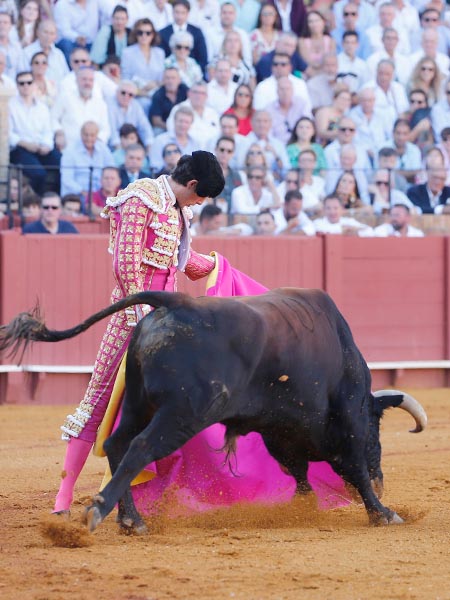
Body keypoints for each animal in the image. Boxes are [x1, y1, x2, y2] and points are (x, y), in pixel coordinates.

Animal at [0, 288, 428, 528]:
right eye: (377, 428)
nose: (382, 480)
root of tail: (174, 303)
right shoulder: (348, 417)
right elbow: (351, 463)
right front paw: (383, 512)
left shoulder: (280, 430)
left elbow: (300, 472)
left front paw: (305, 506)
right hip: (183, 412)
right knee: (141, 447)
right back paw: (100, 512)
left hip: (138, 401)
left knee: (116, 444)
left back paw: (132, 519)